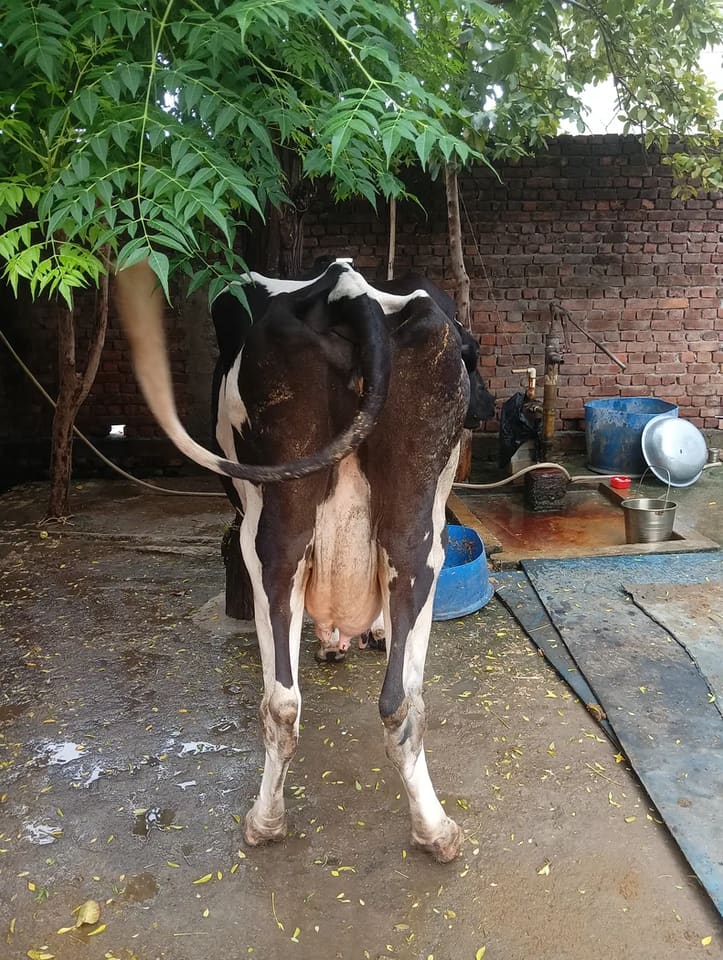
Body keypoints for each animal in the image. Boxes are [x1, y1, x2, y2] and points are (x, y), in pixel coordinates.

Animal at [115, 258, 490, 862]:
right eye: (475, 358)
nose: (485, 405)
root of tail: (350, 291)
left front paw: (342, 639)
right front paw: (350, 638)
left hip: (279, 535)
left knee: (290, 701)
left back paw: (275, 822)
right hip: (409, 528)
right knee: (389, 700)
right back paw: (431, 829)